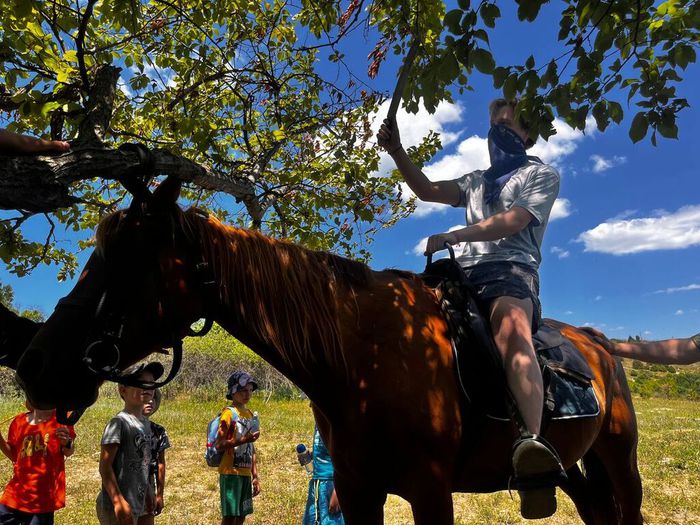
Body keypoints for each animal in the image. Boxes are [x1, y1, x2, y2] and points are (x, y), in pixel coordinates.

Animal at [16, 177, 644, 524]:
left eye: (125, 259)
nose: (32, 362)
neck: (365, 357)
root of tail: (598, 344)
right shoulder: (360, 491)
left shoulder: (431, 492)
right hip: (576, 469)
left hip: (619, 456)